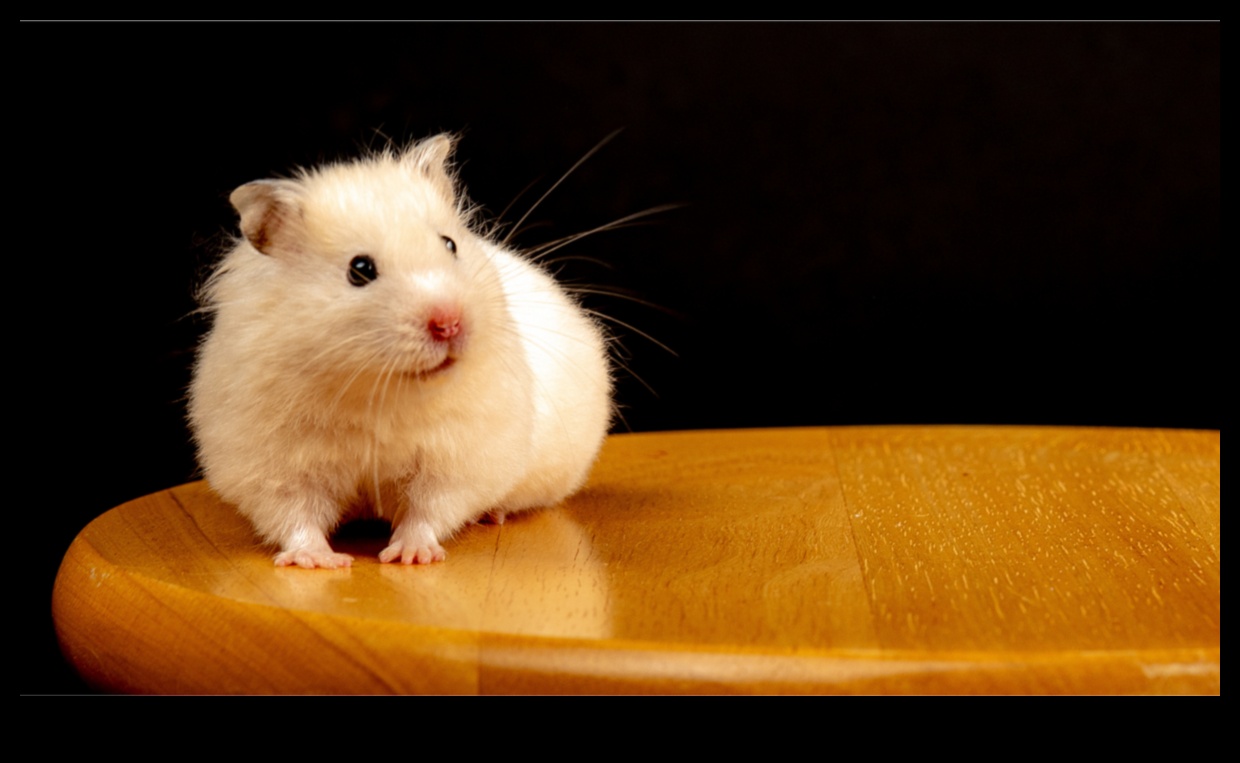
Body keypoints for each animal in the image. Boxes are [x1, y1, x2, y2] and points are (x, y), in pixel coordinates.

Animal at [188, 135, 613, 568]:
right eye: (360, 270)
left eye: (450, 244)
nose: (450, 323)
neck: (376, 388)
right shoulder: (273, 465)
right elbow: (295, 515)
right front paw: (320, 561)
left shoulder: (456, 458)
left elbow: (428, 509)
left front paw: (410, 556)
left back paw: (492, 514)